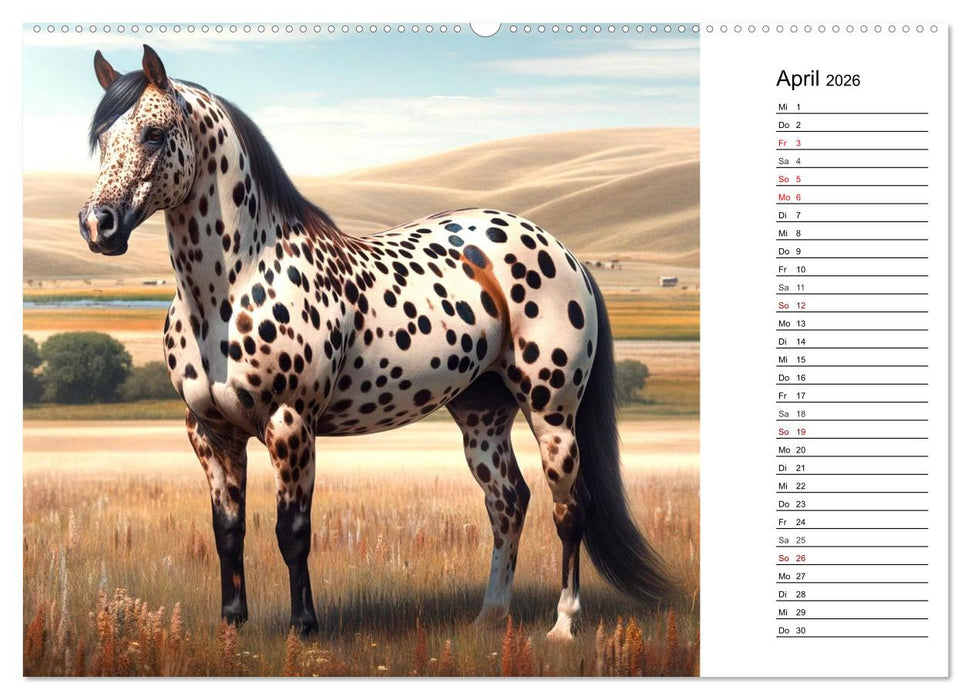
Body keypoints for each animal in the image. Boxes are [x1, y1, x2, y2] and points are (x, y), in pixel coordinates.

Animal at [78, 45, 672, 640]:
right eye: (102, 137)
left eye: (154, 133)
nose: (97, 224)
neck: (231, 286)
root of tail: (562, 250)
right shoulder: (210, 431)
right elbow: (228, 531)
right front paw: (232, 628)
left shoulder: (291, 424)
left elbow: (292, 531)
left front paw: (304, 629)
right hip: (482, 413)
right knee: (508, 503)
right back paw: (489, 616)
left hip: (552, 412)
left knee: (569, 508)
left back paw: (563, 625)